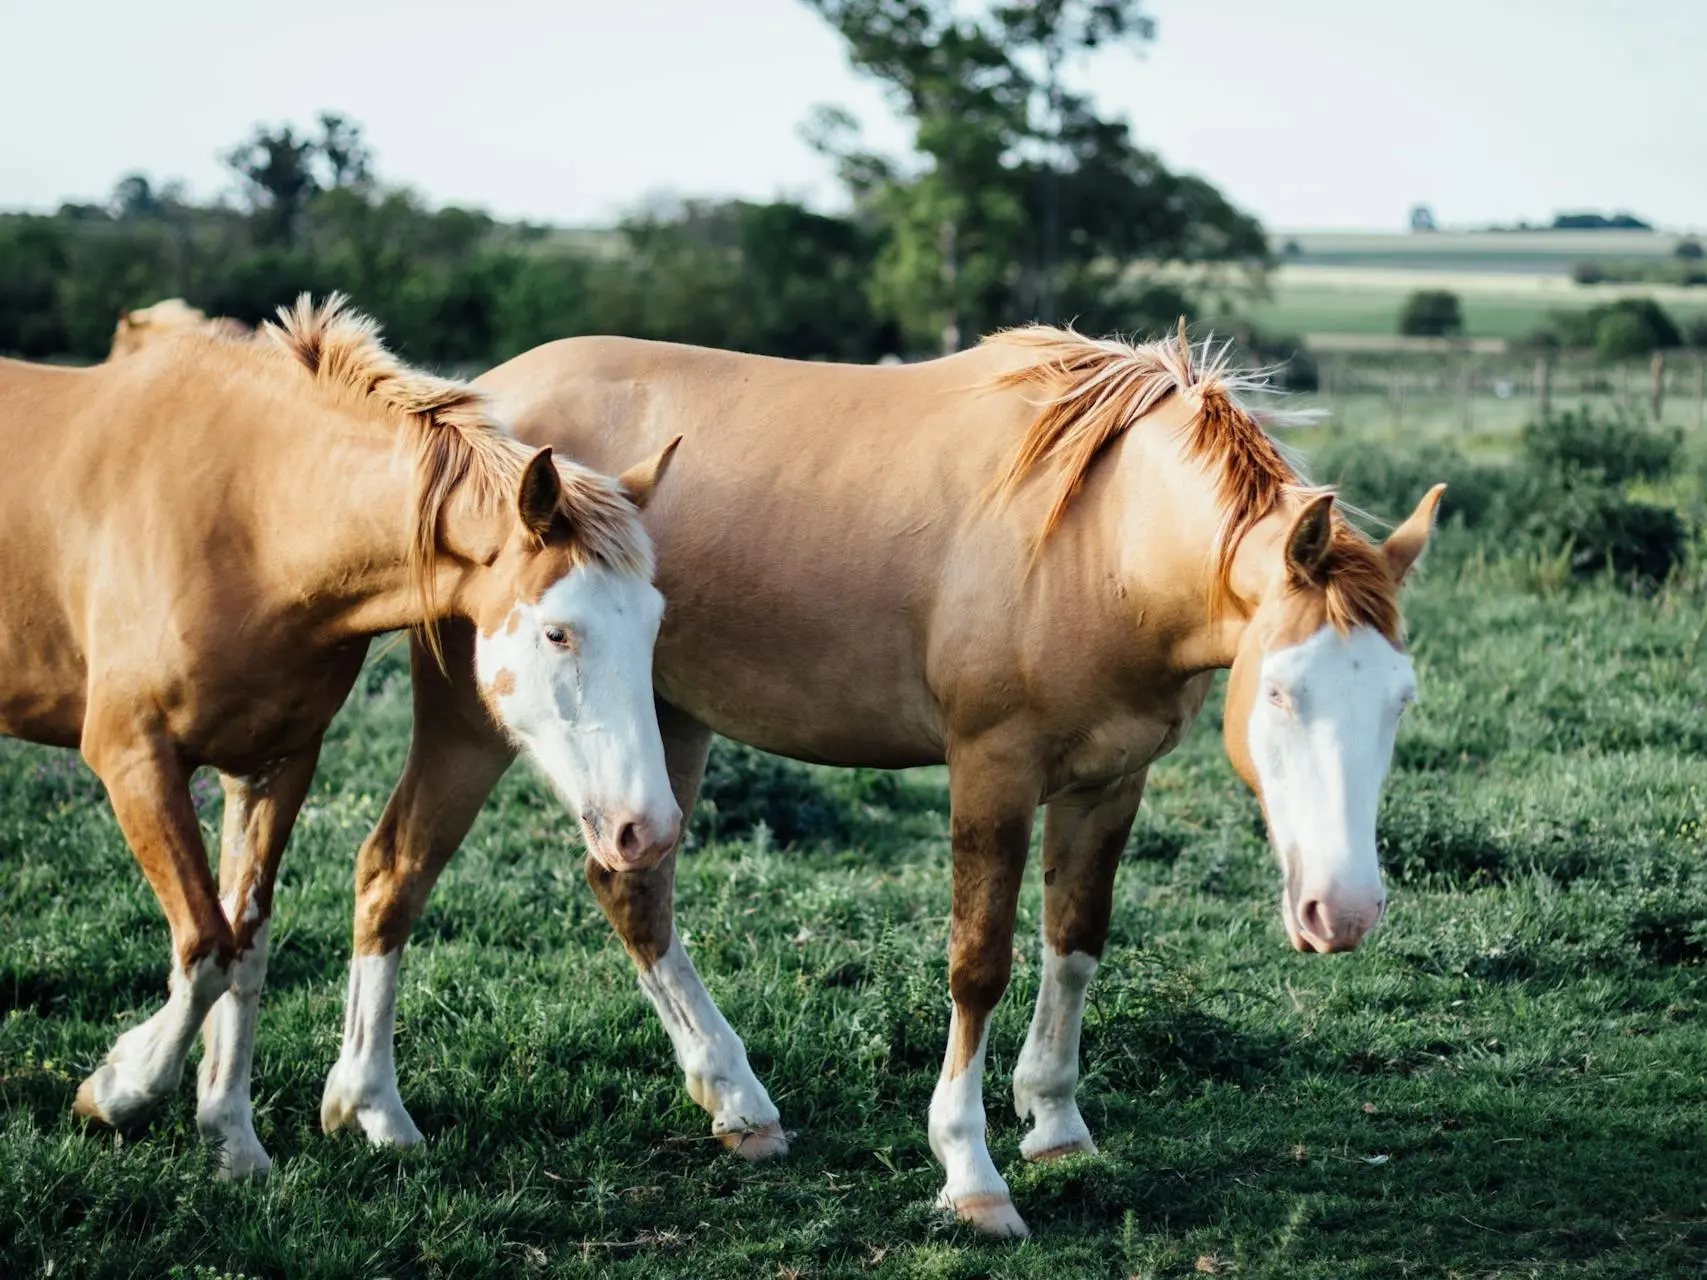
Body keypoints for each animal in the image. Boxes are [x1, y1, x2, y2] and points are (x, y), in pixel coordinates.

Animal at [244, 319, 1440, 1235]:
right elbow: (979, 964)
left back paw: (736, 1101)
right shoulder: (991, 769)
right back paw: (372, 1107)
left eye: (1398, 698)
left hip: (663, 727)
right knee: (393, 870)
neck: (1101, 539)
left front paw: (1056, 1123)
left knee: (632, 887)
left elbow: (1076, 943)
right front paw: (970, 1171)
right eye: (1281, 692)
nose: (1343, 912)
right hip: (474, 724)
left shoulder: (1110, 781)